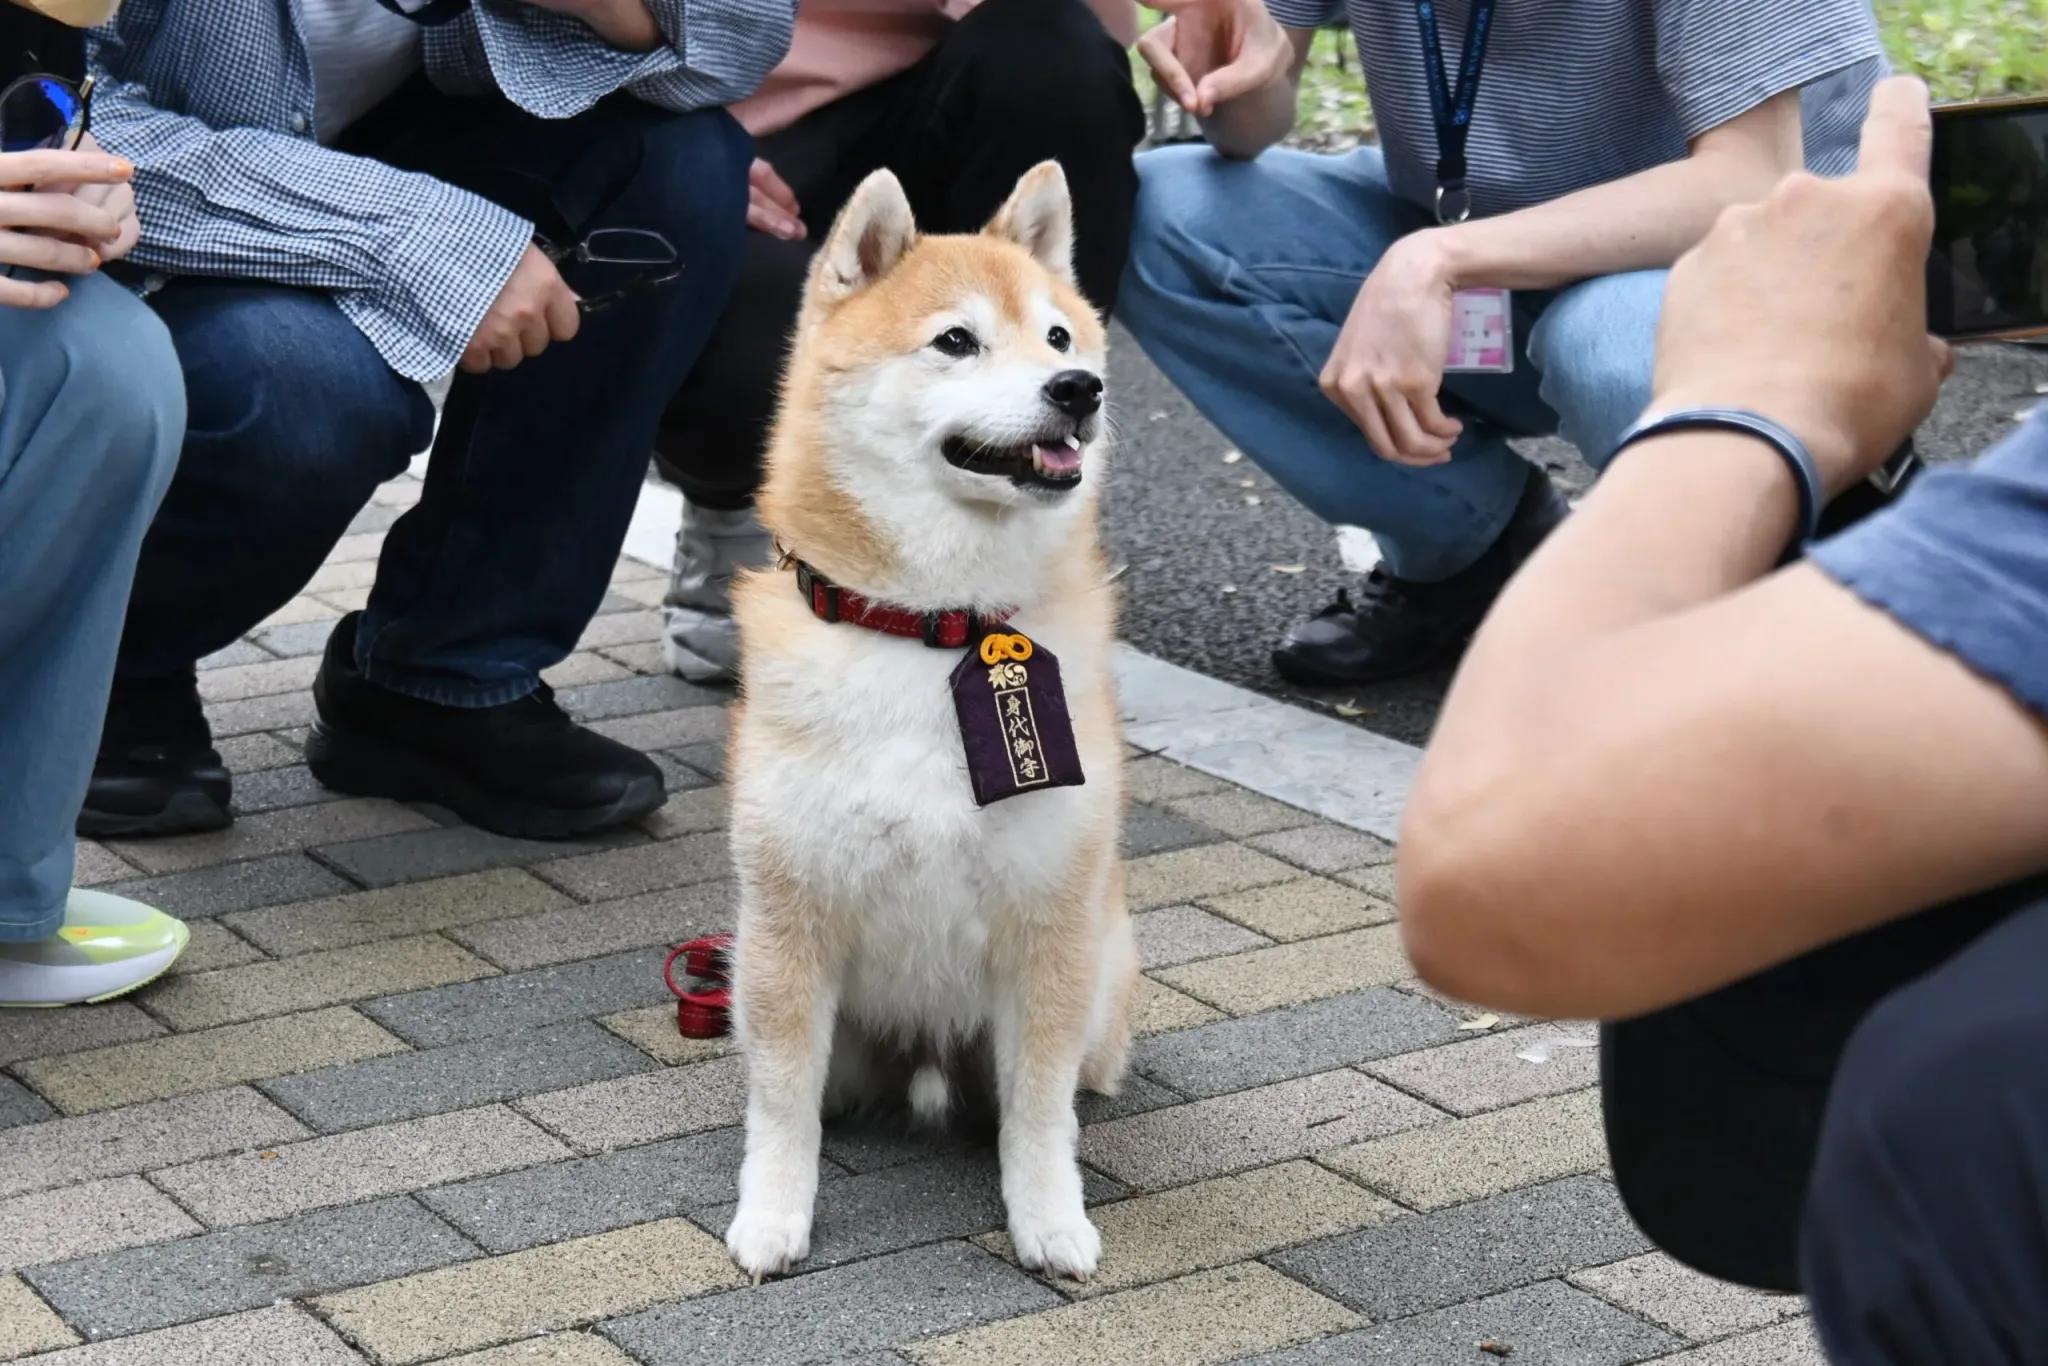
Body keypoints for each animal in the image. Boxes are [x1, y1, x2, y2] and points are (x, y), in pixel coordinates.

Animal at [720, 160, 1138, 1286]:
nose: (1077, 389)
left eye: (1059, 337)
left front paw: (1049, 1219)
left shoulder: (1048, 927)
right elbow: (781, 1105)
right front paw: (773, 1214)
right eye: (955, 341)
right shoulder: (788, 925)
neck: (934, 630)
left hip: (1102, 964)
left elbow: (1036, 1114)